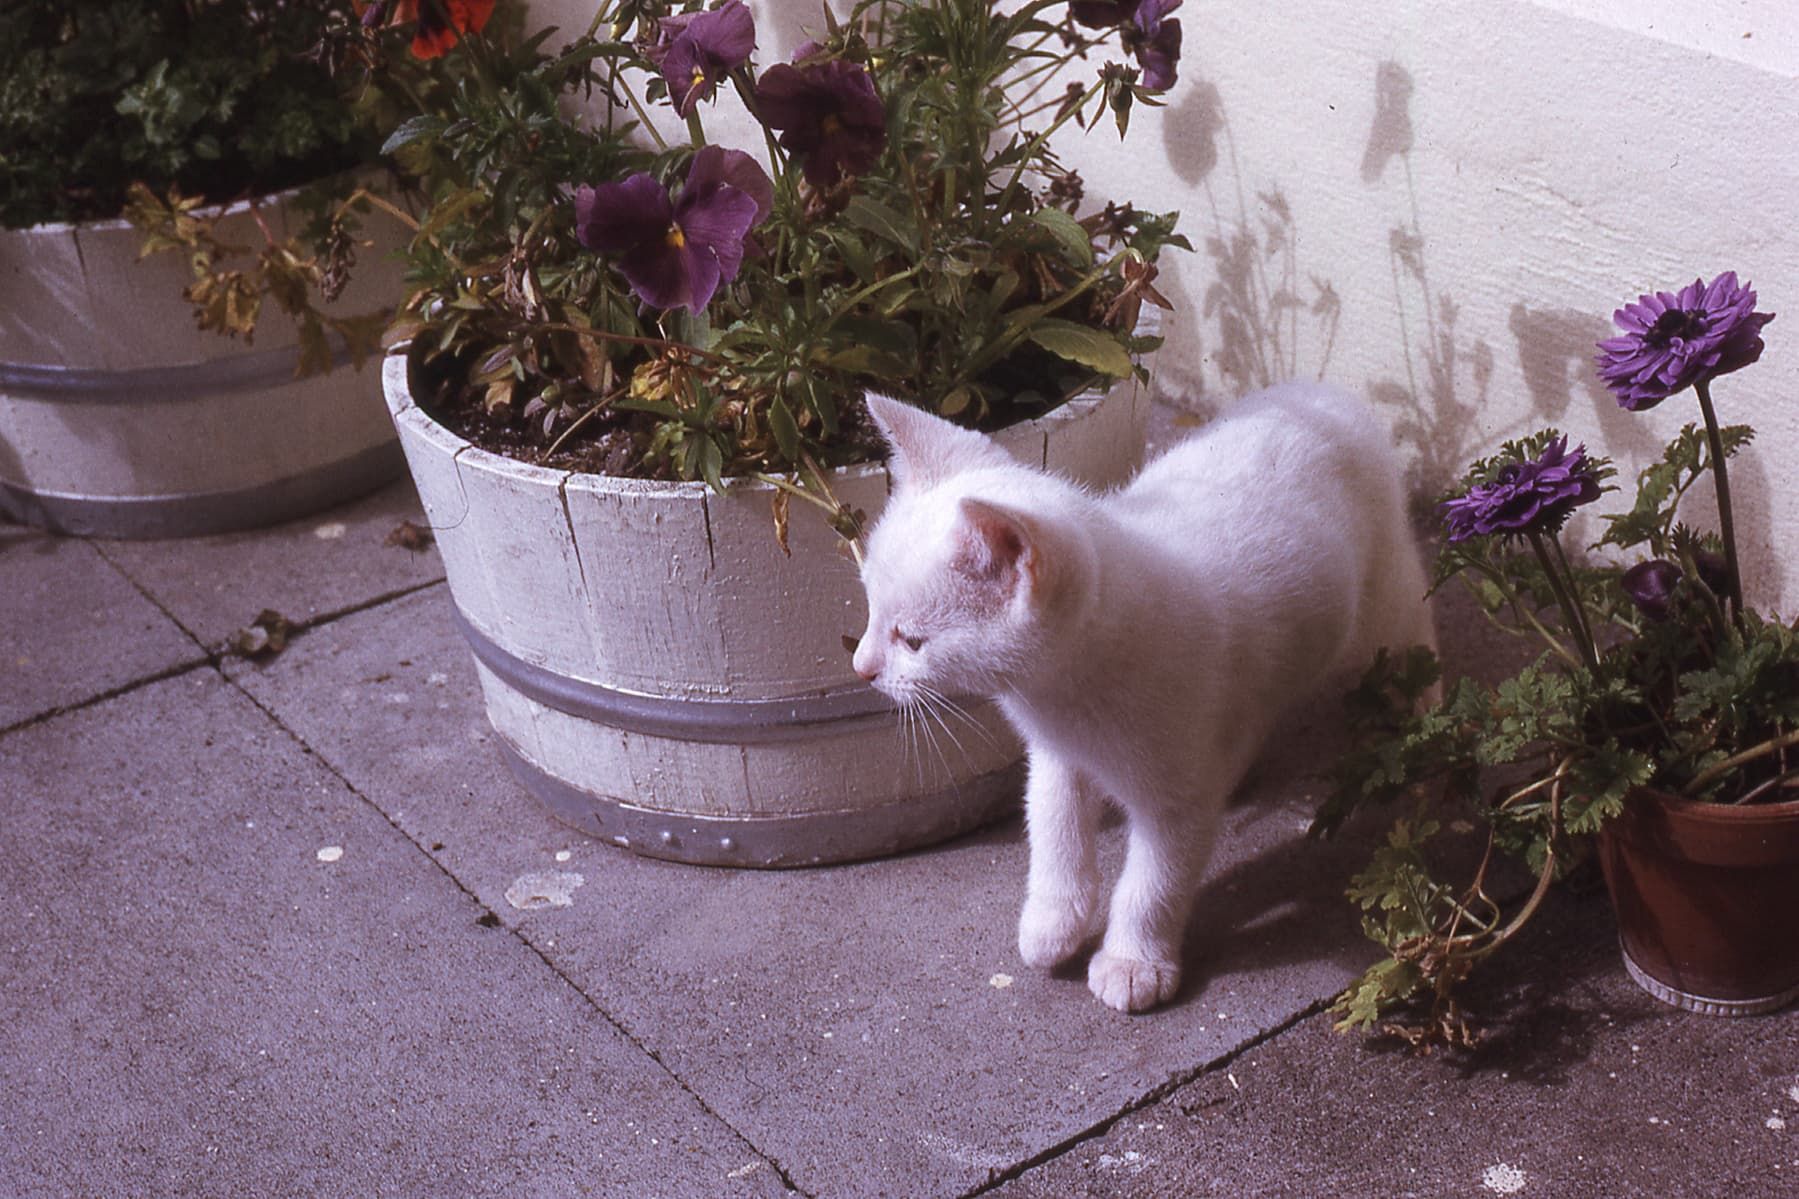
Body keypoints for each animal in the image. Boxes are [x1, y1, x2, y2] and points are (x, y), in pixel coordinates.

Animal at [852, 383, 1432, 1008]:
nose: (861, 668)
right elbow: (1053, 828)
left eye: (912, 640)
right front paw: (1053, 921)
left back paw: (1427, 720)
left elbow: (1153, 882)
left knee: (1415, 631)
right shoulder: (1056, 757)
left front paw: (1133, 962)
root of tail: (1325, 393)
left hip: (1380, 608)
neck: (1066, 694)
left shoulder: (1173, 800)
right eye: (871, 610)